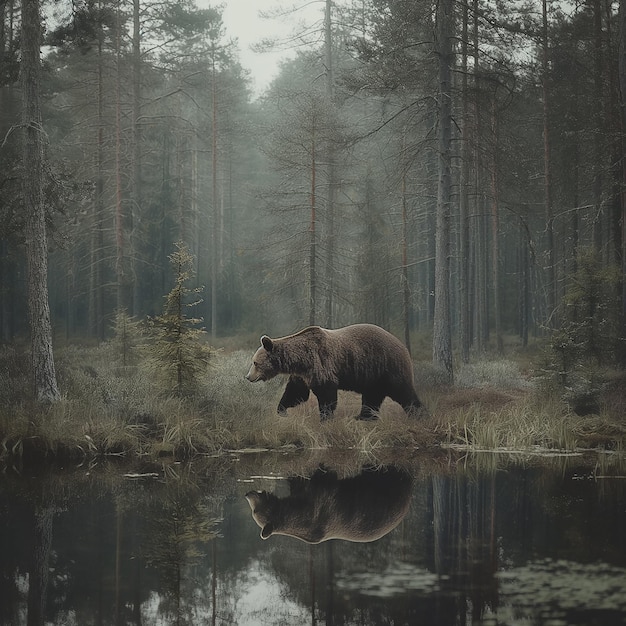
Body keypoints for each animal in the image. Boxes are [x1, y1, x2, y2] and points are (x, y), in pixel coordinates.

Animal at [244, 322, 420, 420]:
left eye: (255, 362)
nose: (248, 377)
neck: (300, 360)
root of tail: (403, 346)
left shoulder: (320, 365)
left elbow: (326, 394)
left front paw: (325, 417)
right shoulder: (302, 375)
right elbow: (296, 393)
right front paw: (282, 410)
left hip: (386, 366)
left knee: (402, 391)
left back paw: (417, 412)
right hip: (374, 376)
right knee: (372, 396)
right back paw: (363, 416)